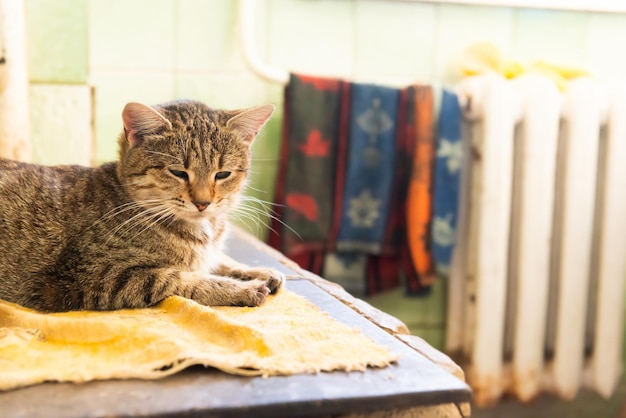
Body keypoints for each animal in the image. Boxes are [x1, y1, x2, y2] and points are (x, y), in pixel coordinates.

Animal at [0, 99, 282, 312]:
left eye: (222, 174)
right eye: (178, 172)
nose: (202, 203)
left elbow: (216, 261)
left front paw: (255, 271)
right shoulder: (94, 277)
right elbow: (182, 279)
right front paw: (242, 288)